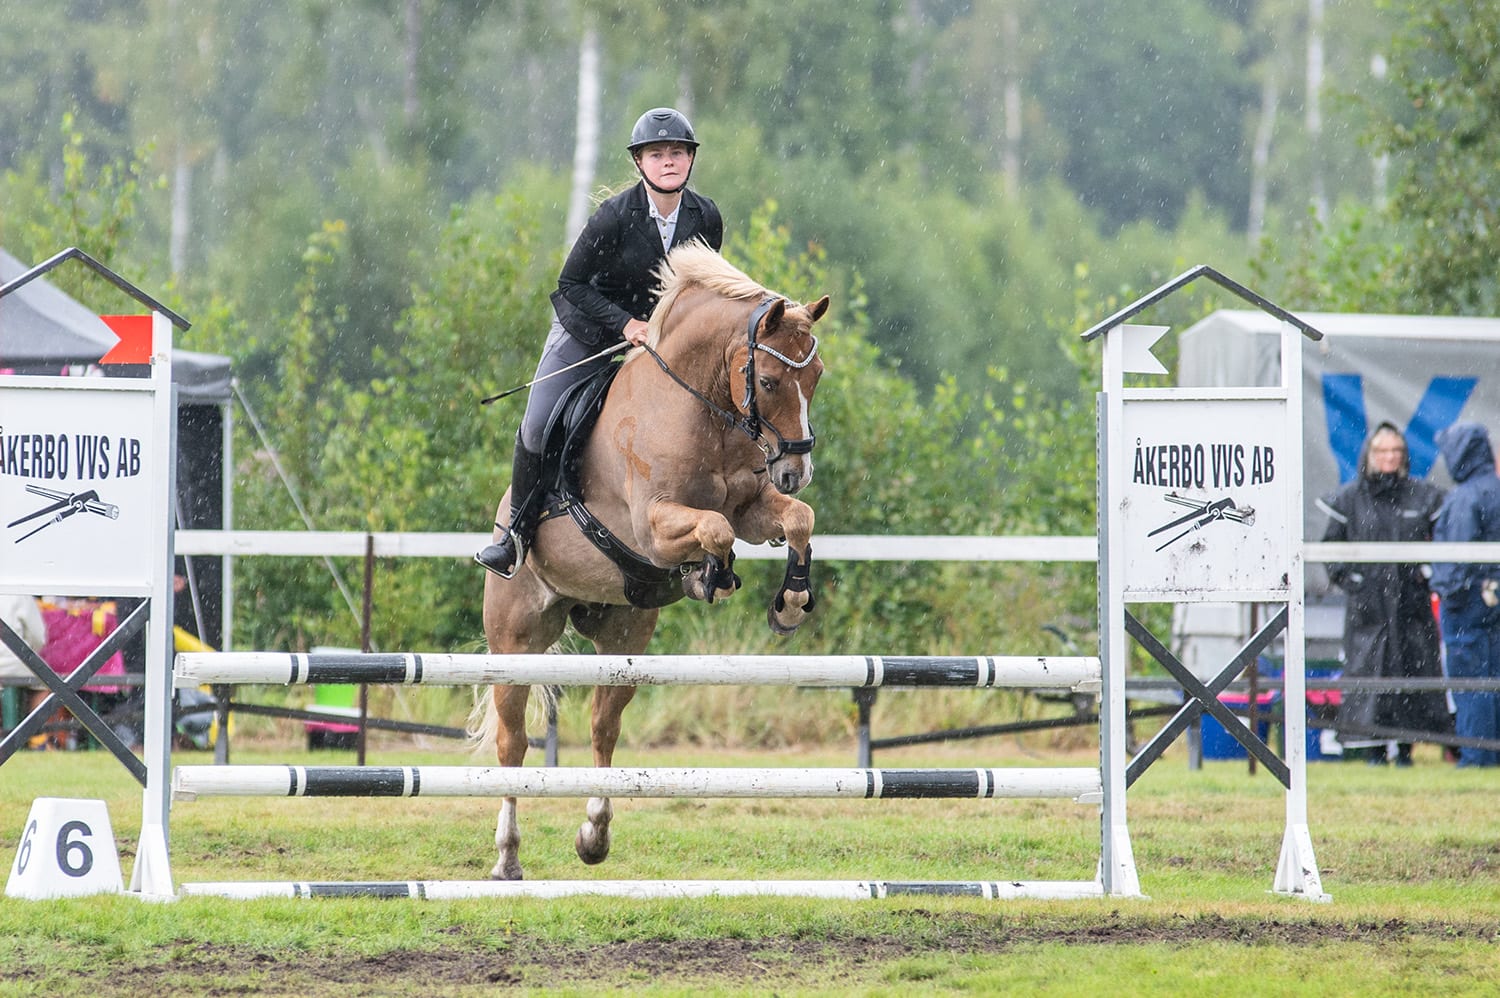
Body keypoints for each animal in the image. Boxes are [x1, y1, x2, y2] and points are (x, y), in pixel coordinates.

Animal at [480, 243, 834, 882]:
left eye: (815, 378)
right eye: (769, 380)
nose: (795, 470)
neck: (702, 404)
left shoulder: (753, 505)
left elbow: (796, 519)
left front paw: (790, 604)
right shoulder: (652, 526)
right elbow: (715, 529)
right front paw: (713, 577)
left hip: (623, 634)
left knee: (604, 727)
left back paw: (594, 834)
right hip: (515, 639)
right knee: (513, 744)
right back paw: (508, 856)